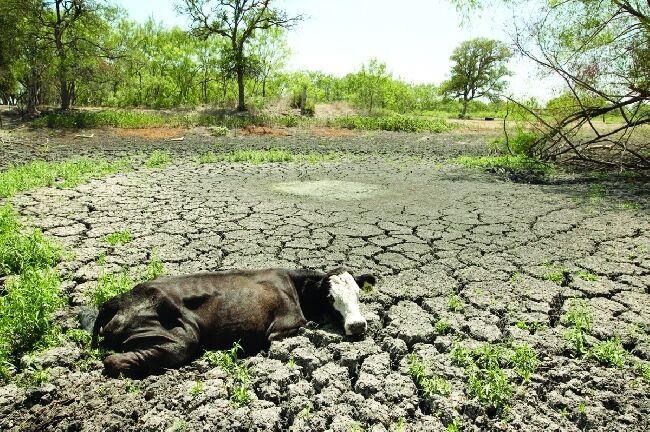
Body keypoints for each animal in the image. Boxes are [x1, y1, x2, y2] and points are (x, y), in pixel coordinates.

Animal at [87, 268, 374, 376]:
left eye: (358, 295)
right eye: (330, 297)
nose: (358, 325)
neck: (295, 285)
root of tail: (115, 302)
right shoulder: (282, 327)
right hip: (179, 337)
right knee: (113, 360)